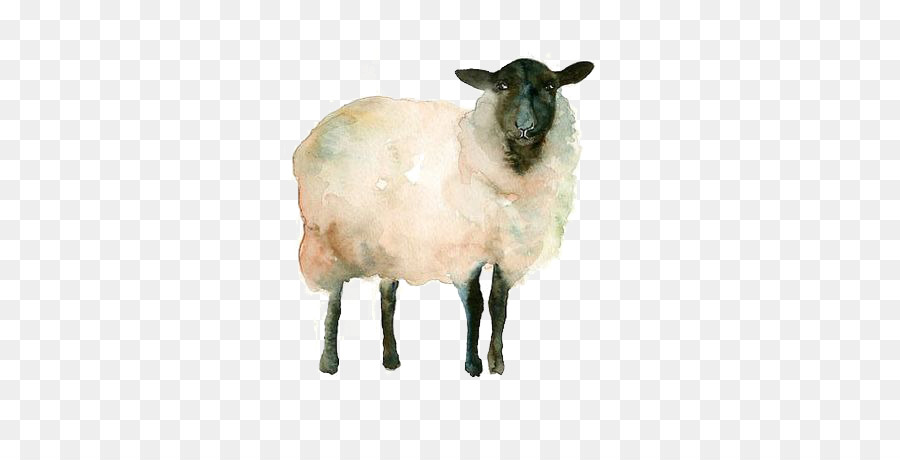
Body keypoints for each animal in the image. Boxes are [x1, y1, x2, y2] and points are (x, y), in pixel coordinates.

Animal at [293, 58, 593, 376]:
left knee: (388, 295)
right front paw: (473, 364)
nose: (525, 127)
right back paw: (329, 361)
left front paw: (496, 363)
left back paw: (391, 358)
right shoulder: (464, 253)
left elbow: (499, 304)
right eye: (501, 85)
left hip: (389, 242)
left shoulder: (507, 251)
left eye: (550, 86)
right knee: (334, 296)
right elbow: (475, 304)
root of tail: (326, 123)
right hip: (328, 237)